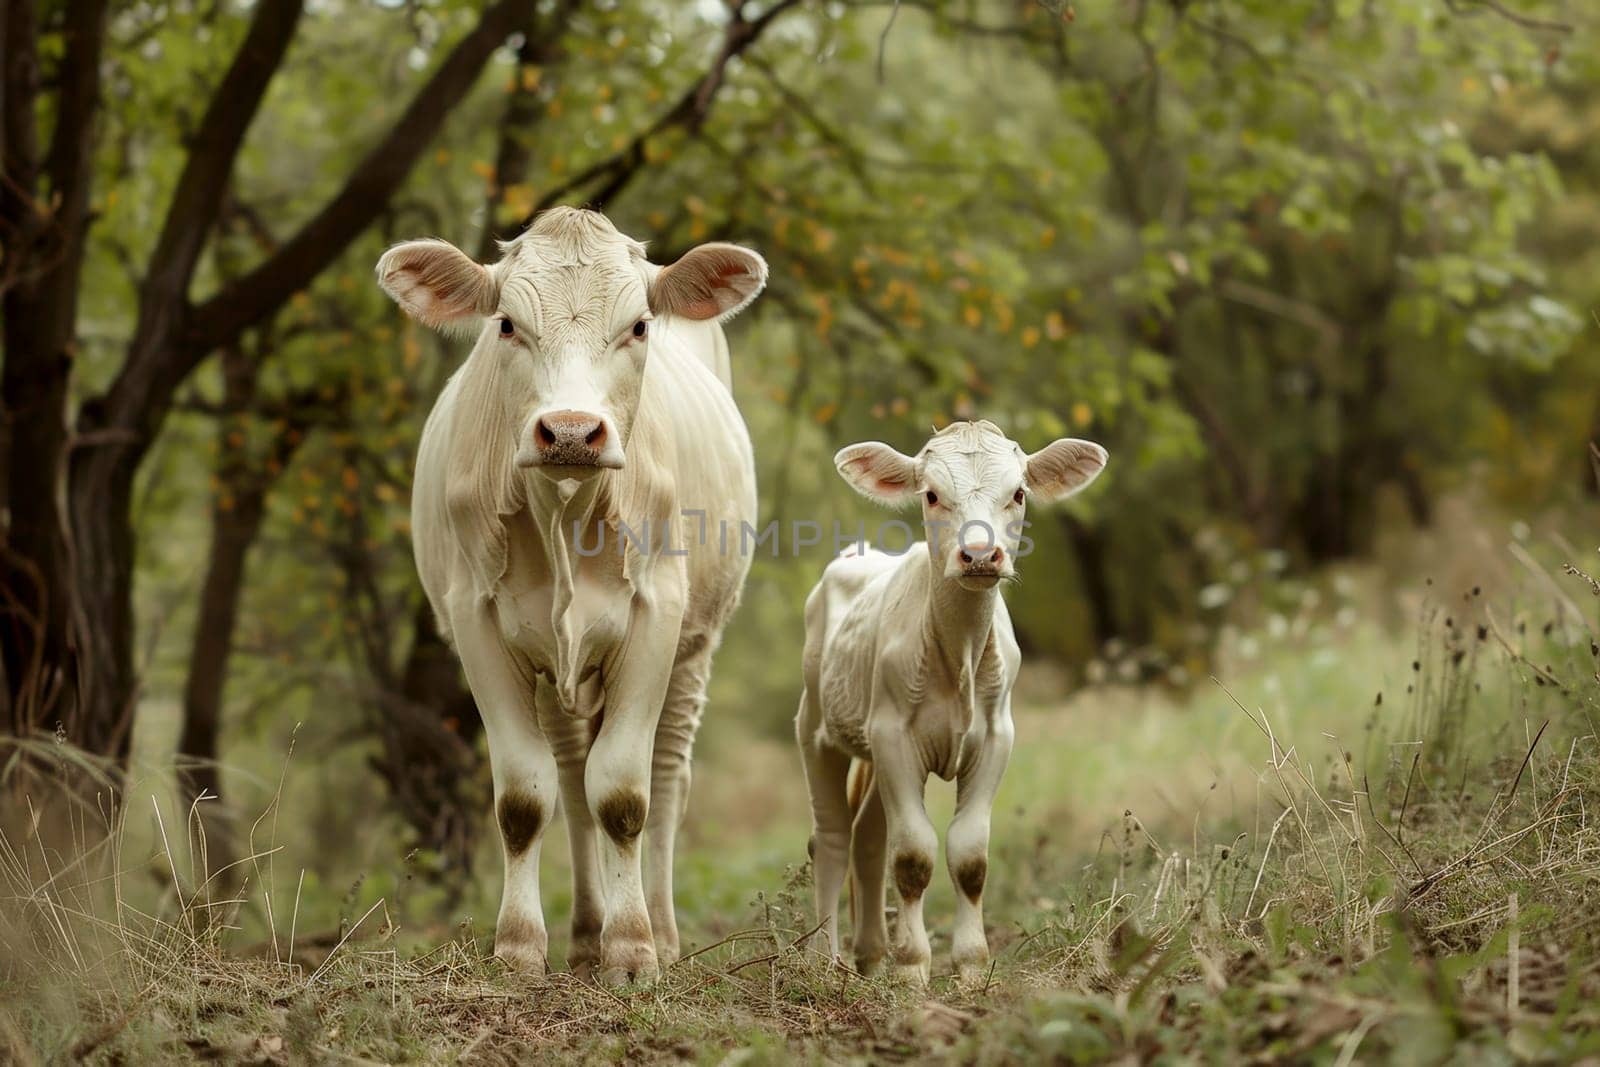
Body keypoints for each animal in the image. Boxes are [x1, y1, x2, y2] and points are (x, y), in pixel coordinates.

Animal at [380, 207, 768, 985]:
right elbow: (527, 798)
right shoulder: (476, 622)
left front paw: (634, 950)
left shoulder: (656, 618)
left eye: (639, 326)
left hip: (697, 647)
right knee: (569, 771)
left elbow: (623, 792)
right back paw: (587, 932)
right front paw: (521, 946)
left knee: (668, 776)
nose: (568, 431)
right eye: (506, 324)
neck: (563, 512)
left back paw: (662, 929)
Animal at [793, 419, 1107, 985]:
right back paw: (824, 960)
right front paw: (913, 968)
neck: (957, 655)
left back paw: (871, 953)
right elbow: (914, 855)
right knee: (829, 837)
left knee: (867, 836)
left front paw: (970, 964)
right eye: (932, 494)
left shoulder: (995, 738)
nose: (980, 556)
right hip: (815, 727)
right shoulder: (894, 737)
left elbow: (969, 855)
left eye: (1018, 493)